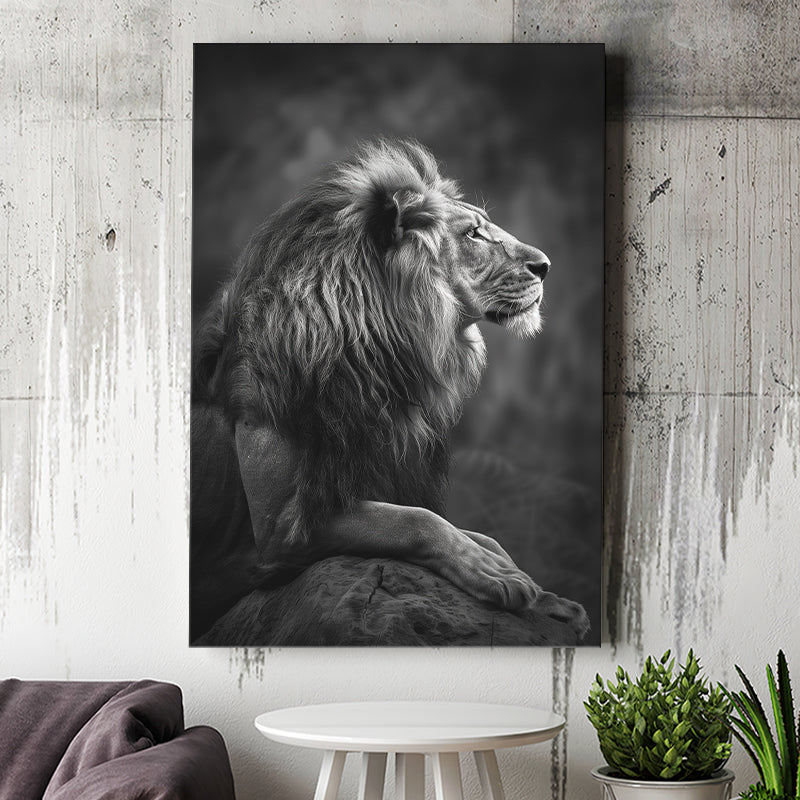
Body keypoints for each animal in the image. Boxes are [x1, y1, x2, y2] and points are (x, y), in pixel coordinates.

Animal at [190, 138, 589, 643]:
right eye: (473, 234)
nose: (546, 266)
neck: (379, 357)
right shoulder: (280, 529)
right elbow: (416, 520)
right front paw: (493, 574)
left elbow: (480, 534)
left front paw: (544, 595)